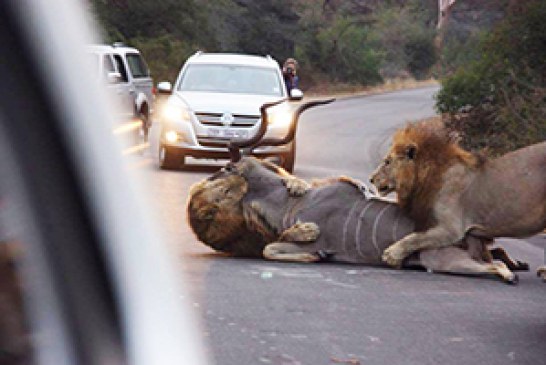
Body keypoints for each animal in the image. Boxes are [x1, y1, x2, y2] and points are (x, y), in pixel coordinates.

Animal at [368, 119, 540, 278]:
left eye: (387, 162)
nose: (371, 179)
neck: (426, 176)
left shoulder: (452, 229)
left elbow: (416, 238)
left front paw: (391, 254)